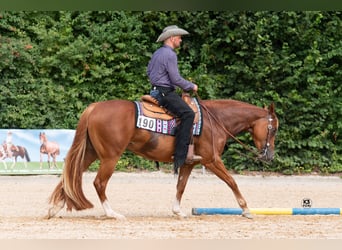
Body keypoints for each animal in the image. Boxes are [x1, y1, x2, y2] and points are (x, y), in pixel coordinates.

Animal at [48, 98, 278, 220]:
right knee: (99, 183)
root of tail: (94, 107)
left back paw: (54, 208)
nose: (270, 156)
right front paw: (246, 209)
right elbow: (232, 181)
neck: (215, 121)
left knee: (71, 175)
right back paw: (113, 213)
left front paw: (178, 211)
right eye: (273, 129)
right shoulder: (211, 160)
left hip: (91, 152)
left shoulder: (190, 163)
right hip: (110, 157)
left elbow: (181, 186)